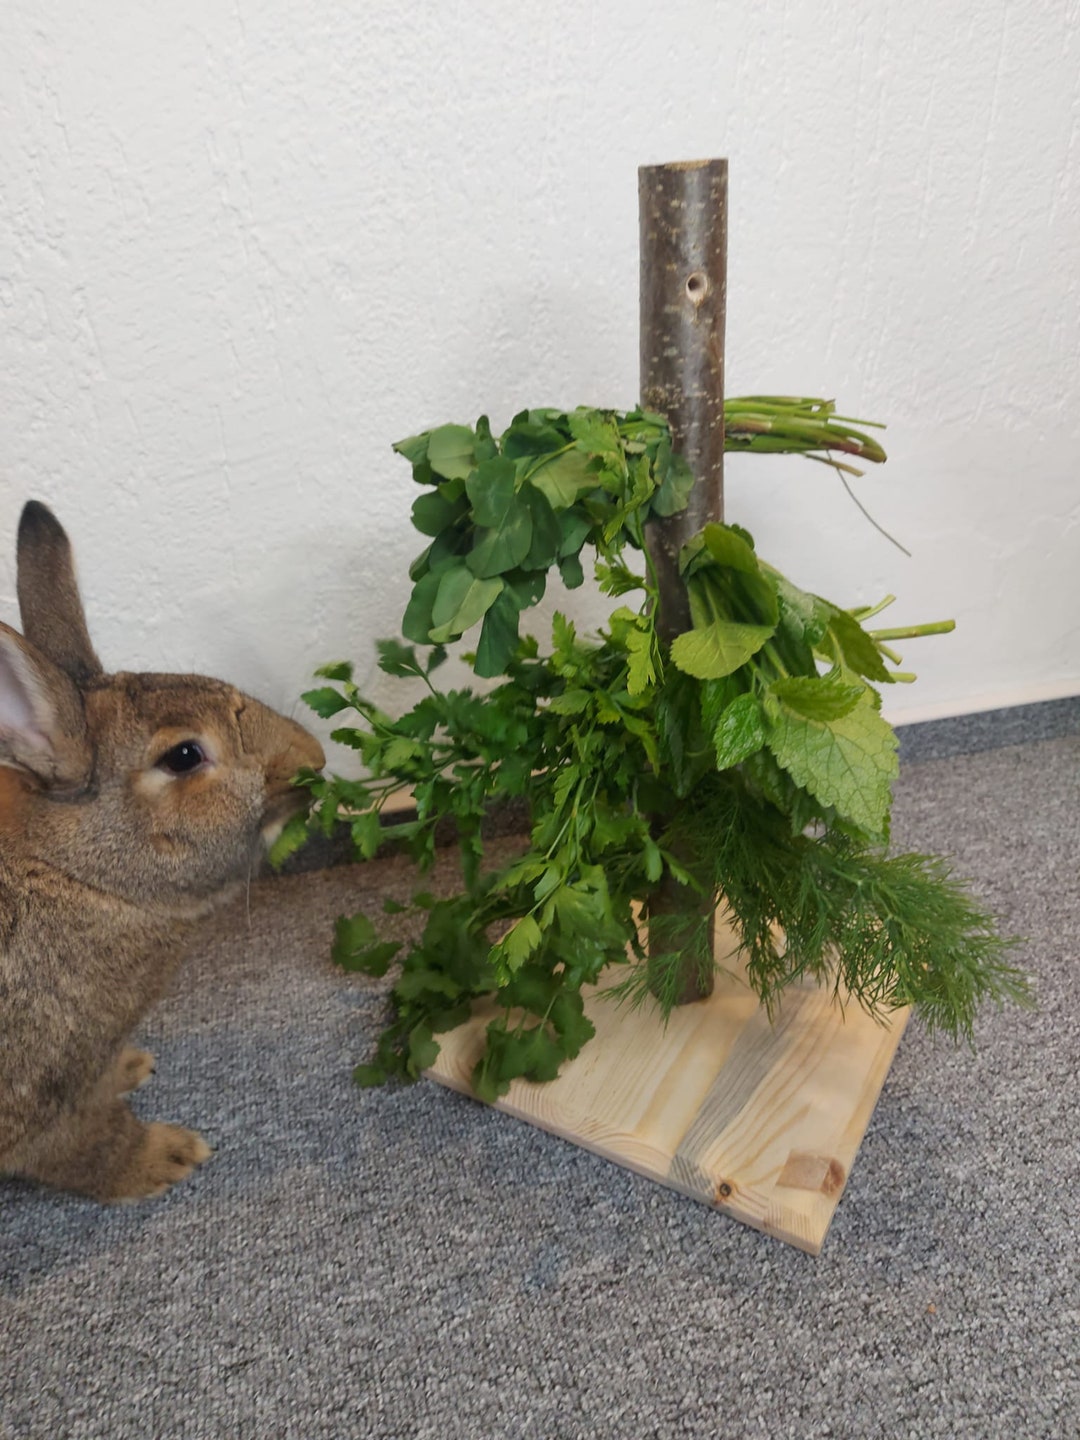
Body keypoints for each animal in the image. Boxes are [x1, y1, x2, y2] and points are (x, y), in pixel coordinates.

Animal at [0, 501, 325, 1203]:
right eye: (183, 756)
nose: (312, 760)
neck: (78, 874)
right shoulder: (43, 1093)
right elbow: (88, 1143)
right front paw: (167, 1158)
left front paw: (132, 1066)